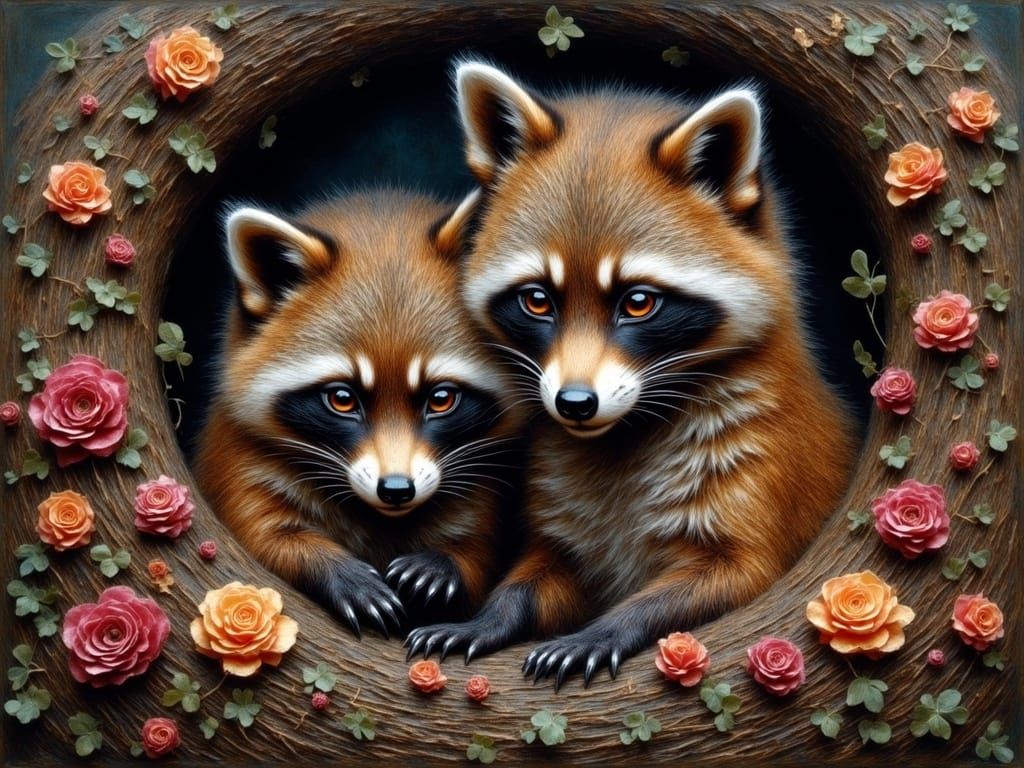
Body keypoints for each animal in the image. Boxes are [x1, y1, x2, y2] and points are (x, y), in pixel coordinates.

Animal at [196, 189, 521, 637]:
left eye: (441, 398)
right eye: (342, 399)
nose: (397, 489)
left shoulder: (481, 479)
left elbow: (479, 552)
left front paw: (445, 564)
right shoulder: (238, 459)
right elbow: (262, 535)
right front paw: (330, 567)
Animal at [406, 62, 855, 687]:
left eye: (638, 302)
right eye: (537, 300)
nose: (574, 403)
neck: (625, 430)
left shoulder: (762, 477)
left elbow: (730, 574)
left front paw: (609, 627)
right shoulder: (561, 508)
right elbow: (539, 571)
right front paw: (493, 615)